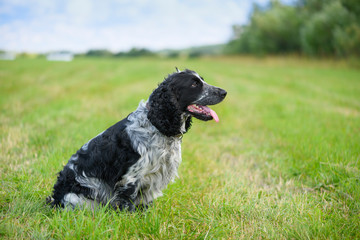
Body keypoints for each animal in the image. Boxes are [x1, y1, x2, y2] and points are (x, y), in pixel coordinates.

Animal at [46, 68, 226, 210]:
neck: (156, 124)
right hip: (76, 197)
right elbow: (128, 203)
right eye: (194, 84)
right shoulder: (131, 178)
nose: (224, 92)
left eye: (202, 80)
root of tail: (55, 199)